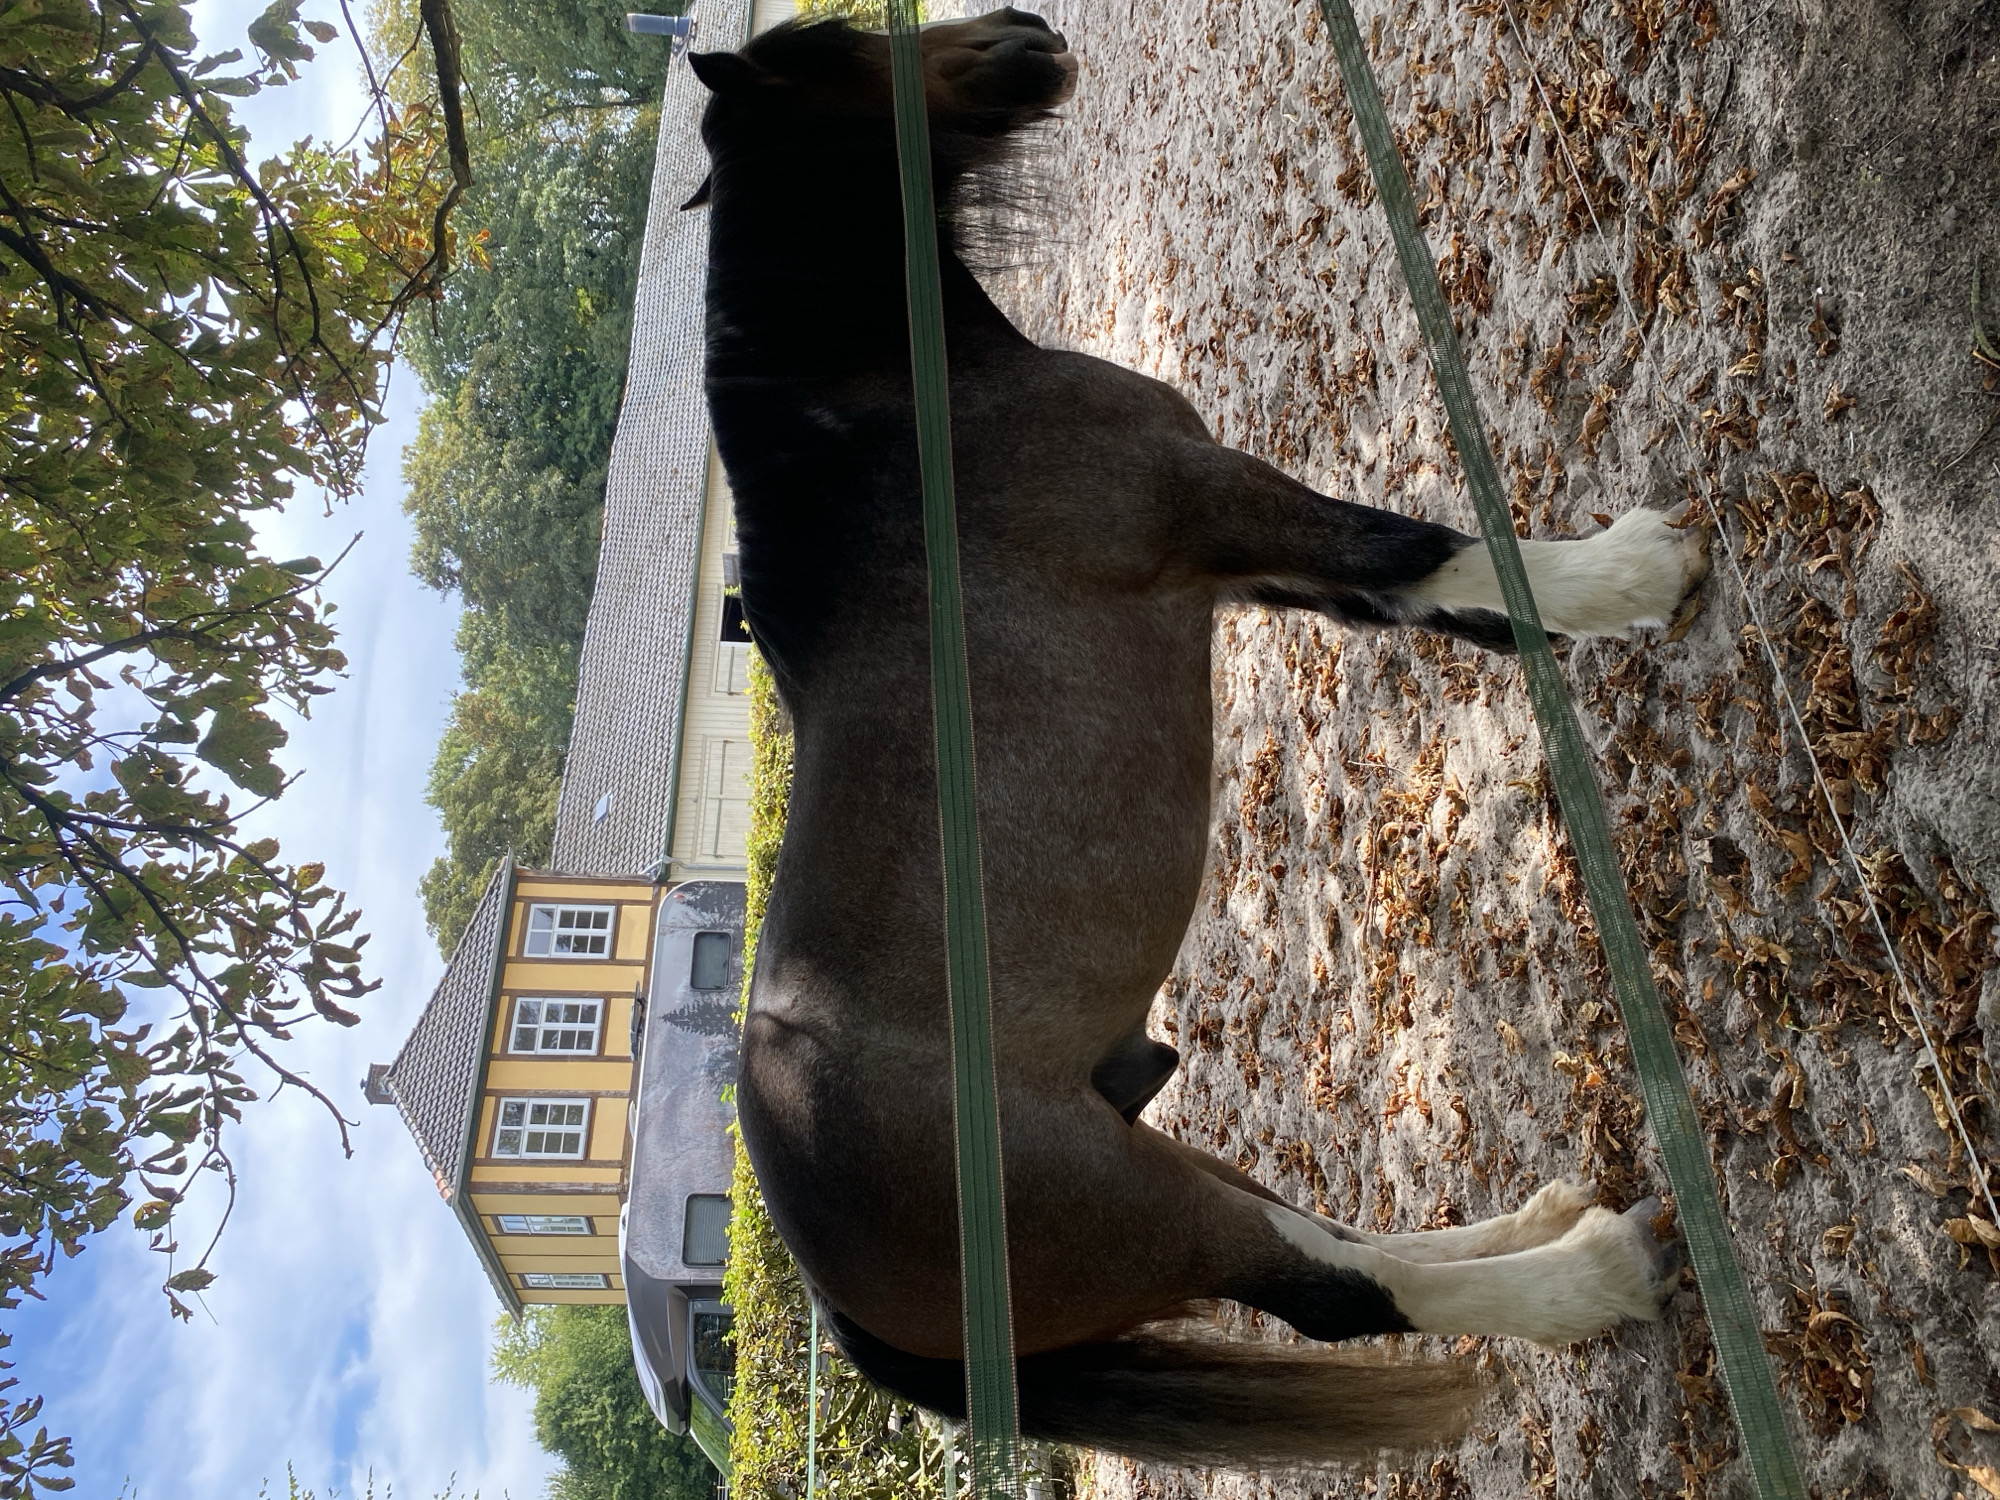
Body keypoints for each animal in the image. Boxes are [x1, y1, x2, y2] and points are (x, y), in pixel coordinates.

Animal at [690, 8, 1699, 1468]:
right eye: (833, 46)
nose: (1024, 37)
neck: (886, 424)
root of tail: (834, 1303)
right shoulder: (1209, 504)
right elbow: (1410, 549)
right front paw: (1630, 577)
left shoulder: (1229, 565)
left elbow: (1418, 596)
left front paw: (1561, 611)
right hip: (1142, 1209)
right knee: (1335, 1291)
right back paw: (1587, 1276)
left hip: (1149, 1167)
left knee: (1330, 1239)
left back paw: (1540, 1223)